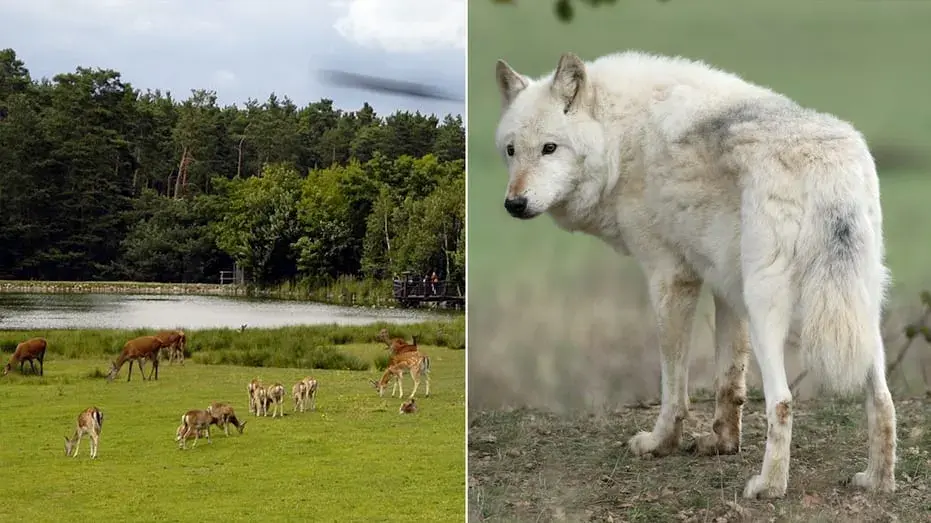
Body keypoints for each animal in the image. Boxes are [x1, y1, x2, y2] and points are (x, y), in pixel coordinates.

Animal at [492, 50, 896, 499]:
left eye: (549, 148)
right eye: (511, 150)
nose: (514, 203)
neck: (620, 139)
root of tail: (827, 170)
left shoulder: (670, 278)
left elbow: (673, 386)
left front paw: (660, 443)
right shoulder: (726, 288)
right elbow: (729, 383)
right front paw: (722, 443)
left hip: (772, 312)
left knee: (783, 401)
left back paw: (769, 486)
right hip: (857, 312)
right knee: (882, 398)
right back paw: (877, 480)